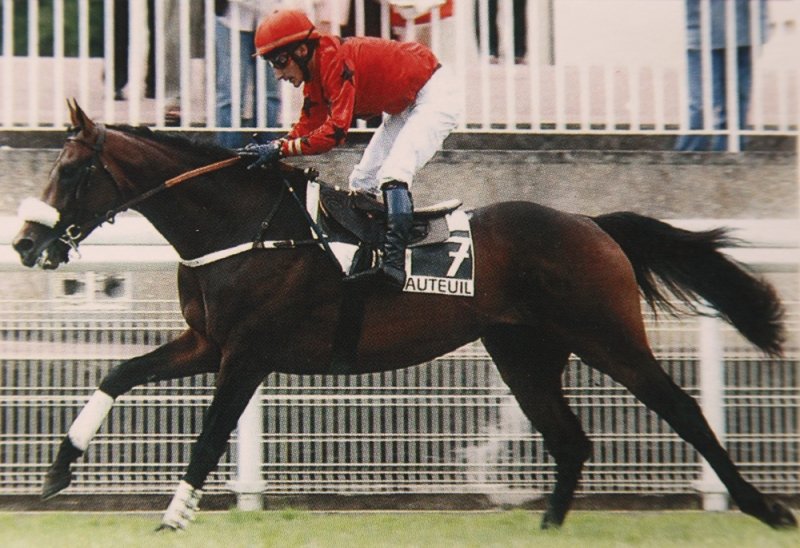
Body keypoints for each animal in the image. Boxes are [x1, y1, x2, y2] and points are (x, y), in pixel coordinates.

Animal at [11, 100, 796, 531]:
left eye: (71, 171)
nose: (24, 242)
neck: (244, 226)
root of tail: (591, 223)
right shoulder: (205, 341)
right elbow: (117, 373)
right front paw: (57, 471)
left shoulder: (248, 353)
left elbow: (208, 437)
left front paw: (172, 517)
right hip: (523, 351)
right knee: (570, 440)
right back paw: (547, 527)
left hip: (607, 335)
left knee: (684, 412)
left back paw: (763, 507)